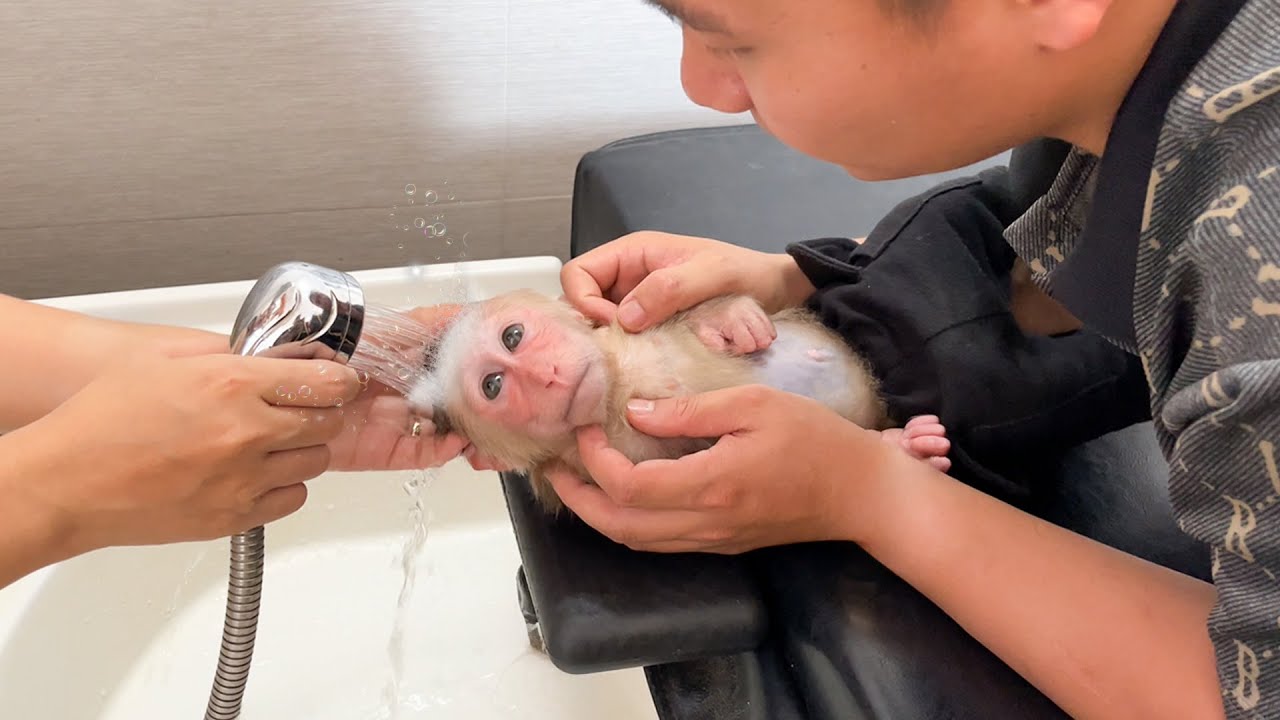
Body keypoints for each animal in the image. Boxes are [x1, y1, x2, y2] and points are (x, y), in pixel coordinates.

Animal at [406, 288, 950, 516]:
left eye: (514, 335)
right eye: (493, 385)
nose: (546, 376)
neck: (619, 385)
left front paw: (729, 316)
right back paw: (905, 448)